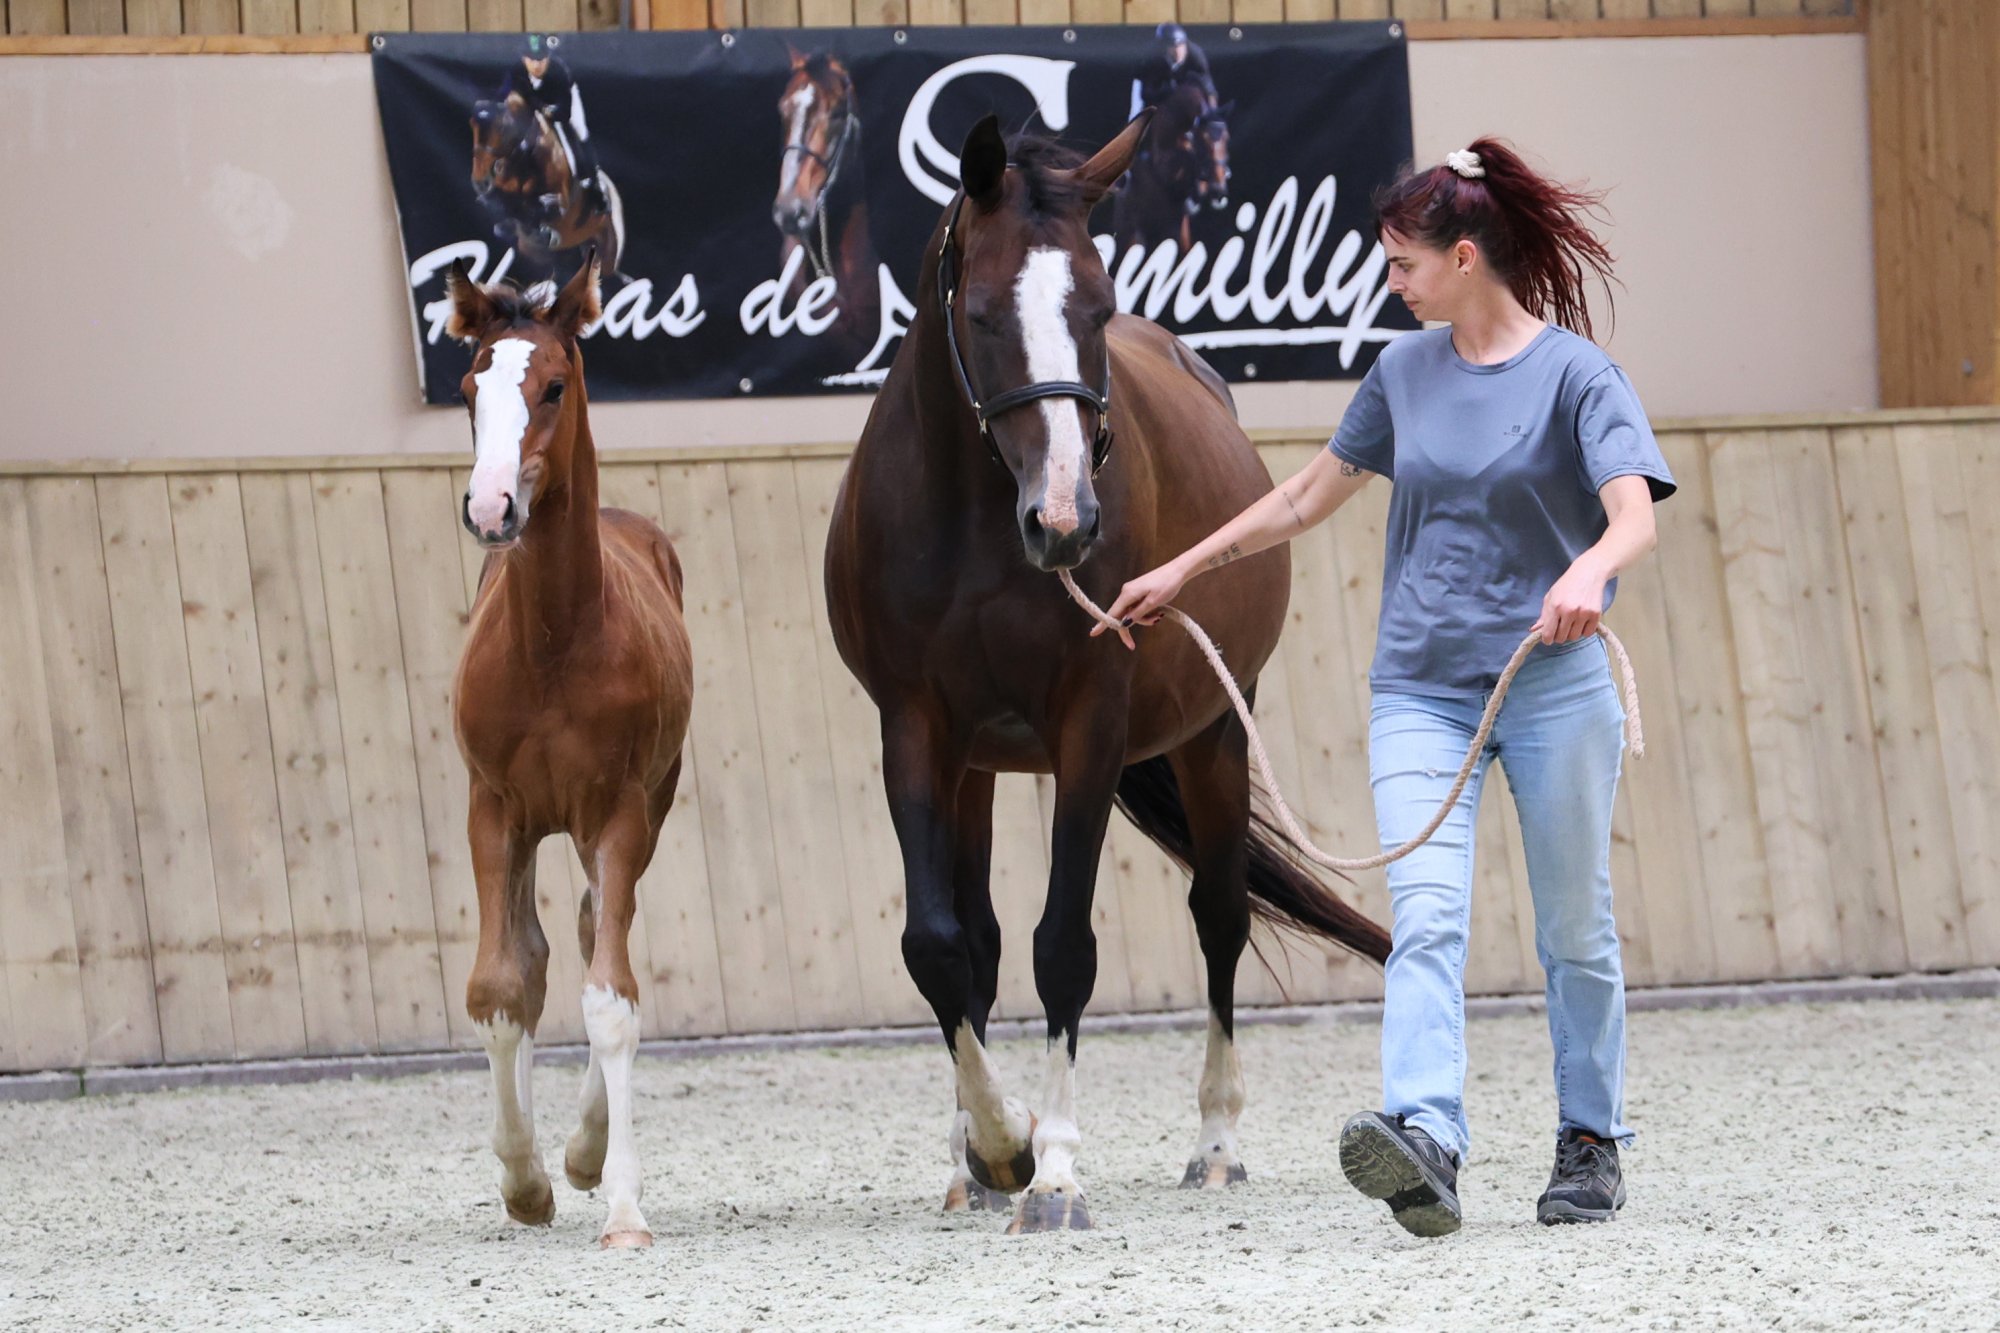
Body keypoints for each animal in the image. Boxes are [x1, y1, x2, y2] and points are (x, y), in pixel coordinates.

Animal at [470, 92, 626, 281]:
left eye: (500, 128)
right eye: (472, 127)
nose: (479, 182)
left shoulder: (562, 203)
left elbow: (547, 206)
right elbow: (502, 203)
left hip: (610, 249)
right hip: (545, 254)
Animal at [823, 114, 1389, 1235]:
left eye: (1098, 305)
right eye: (982, 312)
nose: (1065, 521)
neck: (977, 523)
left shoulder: (1091, 723)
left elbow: (1063, 949)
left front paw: (1051, 1171)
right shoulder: (915, 730)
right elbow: (940, 944)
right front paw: (995, 1144)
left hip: (1213, 735)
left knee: (1219, 917)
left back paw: (1214, 1145)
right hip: (980, 768)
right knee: (980, 940)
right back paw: (972, 1158)